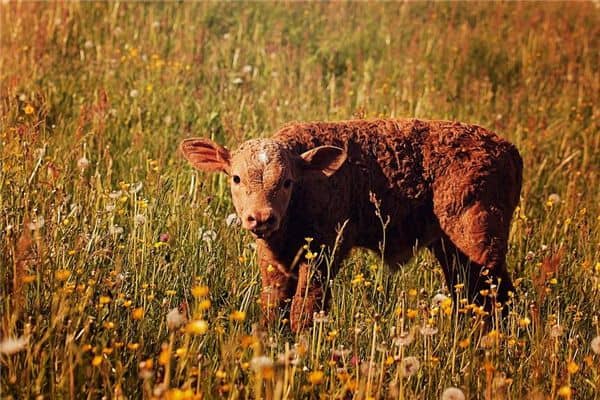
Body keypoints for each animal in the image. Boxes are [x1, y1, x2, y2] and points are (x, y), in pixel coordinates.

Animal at [180, 119, 524, 332]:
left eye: (288, 181)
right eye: (236, 178)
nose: (262, 217)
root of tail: (508, 149)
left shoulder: (324, 253)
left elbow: (305, 309)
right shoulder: (274, 261)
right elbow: (273, 307)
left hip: (479, 242)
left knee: (498, 296)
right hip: (451, 248)